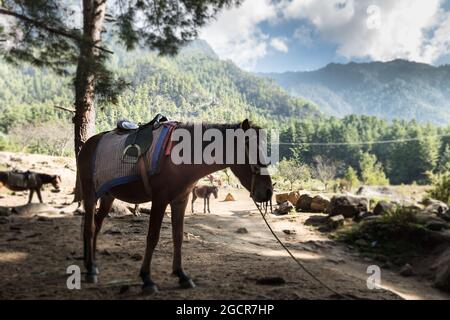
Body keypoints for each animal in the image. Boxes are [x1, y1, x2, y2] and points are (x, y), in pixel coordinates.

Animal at [76, 119, 272, 292]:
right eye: (254, 152)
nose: (268, 192)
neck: (179, 160)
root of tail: (88, 144)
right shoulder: (160, 200)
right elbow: (152, 237)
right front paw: (147, 279)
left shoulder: (180, 201)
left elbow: (178, 236)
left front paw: (181, 275)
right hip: (90, 194)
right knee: (89, 228)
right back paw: (90, 269)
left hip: (107, 196)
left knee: (97, 224)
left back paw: (91, 263)